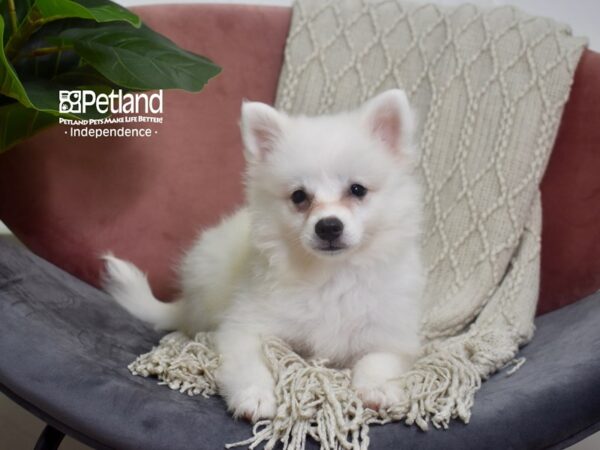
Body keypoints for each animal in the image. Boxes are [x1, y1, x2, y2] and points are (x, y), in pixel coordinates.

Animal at [102, 90, 422, 422]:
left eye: (357, 190)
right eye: (299, 197)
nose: (328, 226)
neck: (330, 273)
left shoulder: (391, 333)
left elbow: (379, 360)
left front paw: (378, 389)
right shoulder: (244, 328)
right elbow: (251, 364)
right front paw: (254, 395)